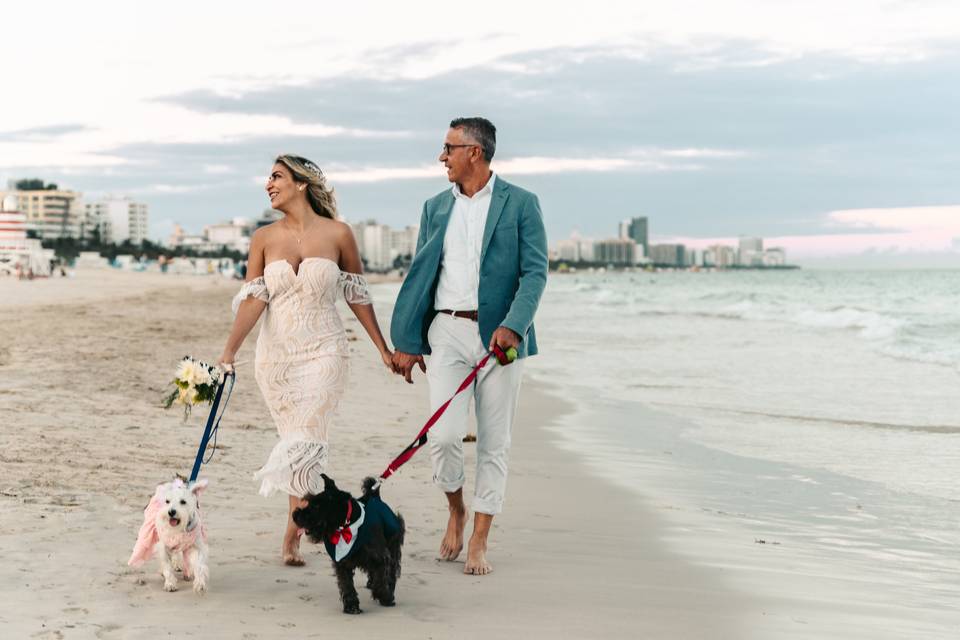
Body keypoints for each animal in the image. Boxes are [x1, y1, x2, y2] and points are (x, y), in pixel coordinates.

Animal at [296, 476, 408, 616]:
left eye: (316, 506)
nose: (295, 515)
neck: (345, 526)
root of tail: (374, 496)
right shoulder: (342, 563)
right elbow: (347, 585)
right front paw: (352, 607)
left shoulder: (380, 558)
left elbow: (381, 579)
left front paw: (385, 597)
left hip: (393, 544)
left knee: (392, 571)